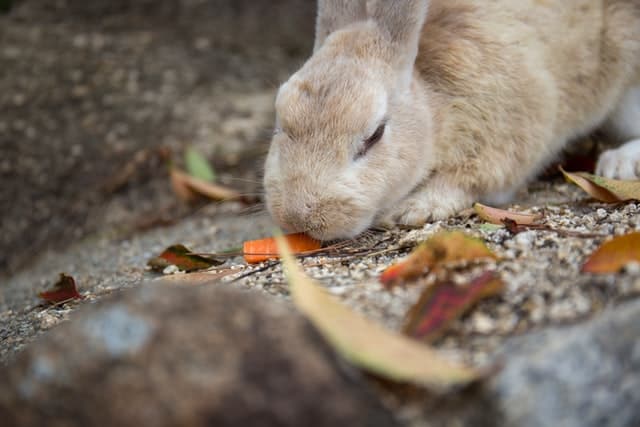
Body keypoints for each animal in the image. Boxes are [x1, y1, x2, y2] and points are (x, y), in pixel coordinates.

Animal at [263, 0, 640, 240]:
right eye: (280, 123)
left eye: (374, 135)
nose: (298, 218)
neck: (433, 111)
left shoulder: (507, 136)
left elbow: (468, 179)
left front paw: (415, 209)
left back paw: (618, 164)